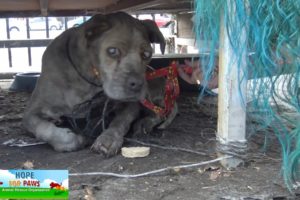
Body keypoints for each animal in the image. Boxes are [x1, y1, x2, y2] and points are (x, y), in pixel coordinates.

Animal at [24, 11, 178, 157]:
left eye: (147, 54)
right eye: (112, 51)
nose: (139, 84)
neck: (88, 79)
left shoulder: (129, 105)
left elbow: (120, 122)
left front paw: (108, 138)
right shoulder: (33, 112)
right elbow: (43, 128)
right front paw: (74, 140)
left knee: (161, 113)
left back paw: (144, 123)